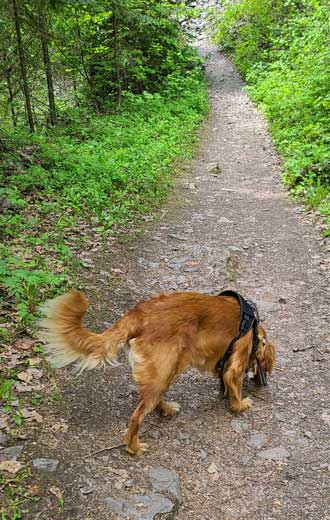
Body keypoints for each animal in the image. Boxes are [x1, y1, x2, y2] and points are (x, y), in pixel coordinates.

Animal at [40, 292, 276, 456]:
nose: (263, 384)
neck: (253, 330)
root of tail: (138, 315)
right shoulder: (237, 358)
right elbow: (233, 383)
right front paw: (240, 404)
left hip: (165, 370)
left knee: (153, 400)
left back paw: (166, 409)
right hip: (166, 368)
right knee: (136, 417)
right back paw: (134, 447)